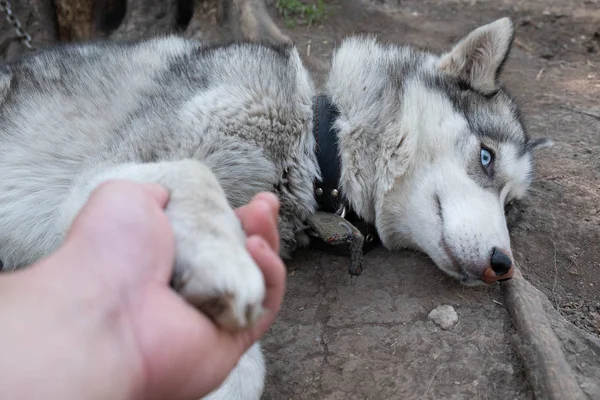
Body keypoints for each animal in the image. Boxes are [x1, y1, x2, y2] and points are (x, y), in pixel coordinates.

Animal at [0, 17, 552, 398]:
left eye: (511, 208)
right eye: (486, 157)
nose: (503, 265)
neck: (316, 146)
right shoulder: (101, 177)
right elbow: (195, 174)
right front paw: (221, 267)